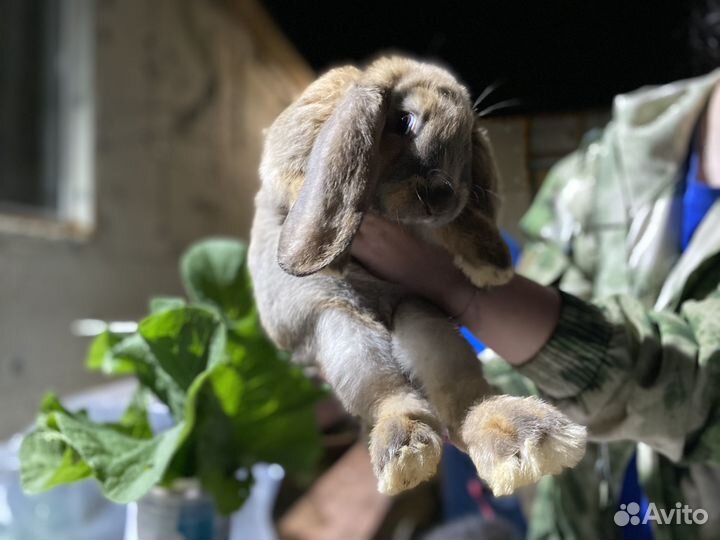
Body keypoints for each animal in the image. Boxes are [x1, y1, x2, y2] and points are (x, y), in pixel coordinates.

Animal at [248, 56, 586, 496]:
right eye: (403, 121)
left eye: (467, 145)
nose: (442, 193)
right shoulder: (290, 157)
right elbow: (300, 183)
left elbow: (459, 223)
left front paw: (491, 268)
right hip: (341, 329)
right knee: (390, 397)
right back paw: (407, 450)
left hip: (423, 319)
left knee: (459, 407)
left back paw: (525, 440)